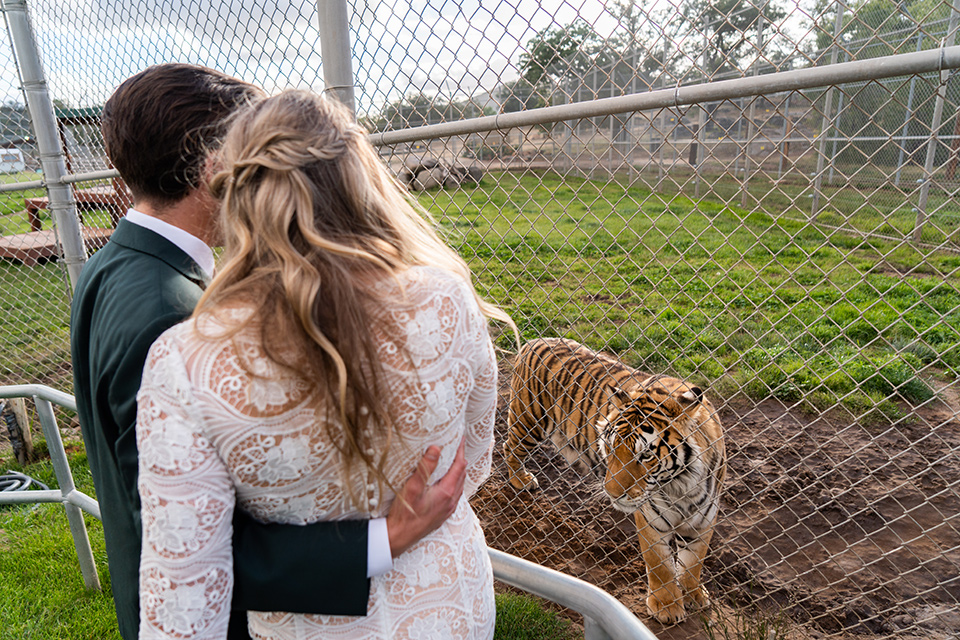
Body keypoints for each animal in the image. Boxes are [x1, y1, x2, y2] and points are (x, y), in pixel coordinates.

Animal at [506, 338, 724, 624]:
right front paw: (666, 607)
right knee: (510, 447)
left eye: (645, 455)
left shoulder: (704, 519)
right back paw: (520, 479)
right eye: (610, 447)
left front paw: (694, 596)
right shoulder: (651, 520)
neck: (681, 485)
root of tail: (536, 340)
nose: (612, 494)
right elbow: (660, 565)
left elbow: (694, 562)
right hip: (529, 421)